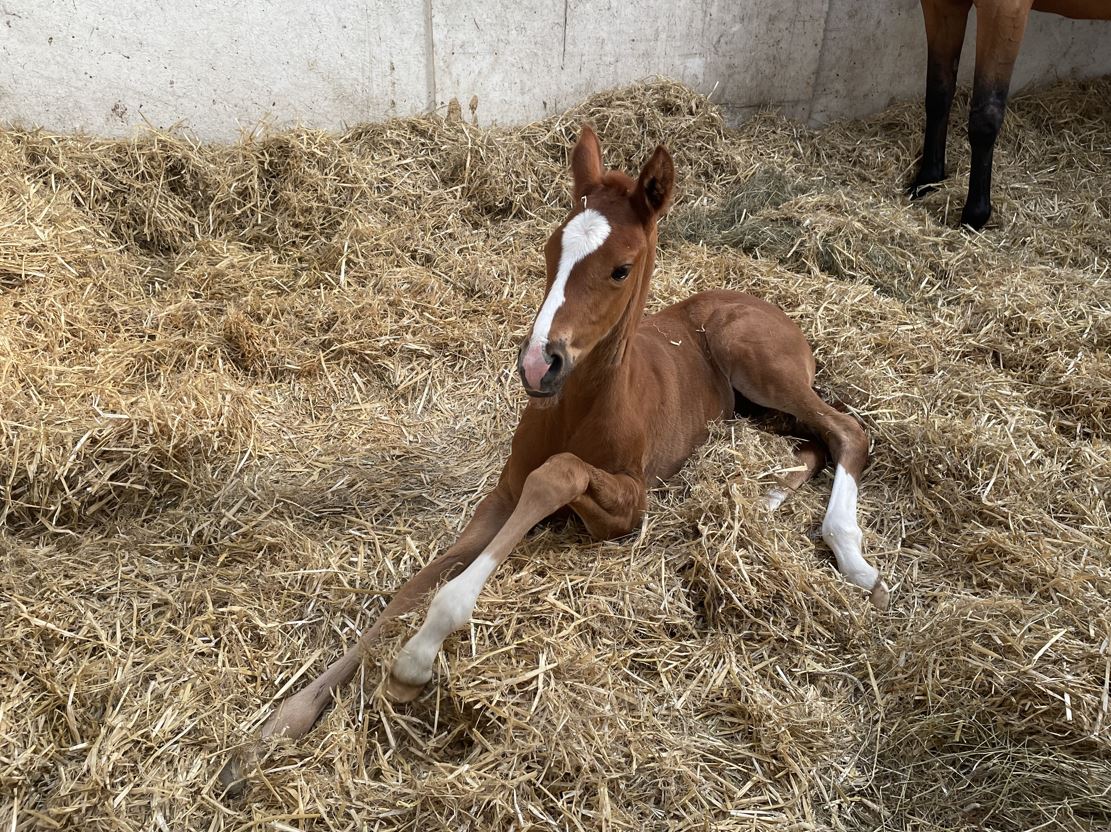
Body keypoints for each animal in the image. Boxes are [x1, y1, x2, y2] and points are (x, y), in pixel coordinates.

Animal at [221, 126, 888, 790]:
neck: (576, 407)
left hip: (759, 364)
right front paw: (277, 727)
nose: (538, 364)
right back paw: (767, 495)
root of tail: (768, 305)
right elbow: (409, 589)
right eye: (549, 250)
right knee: (815, 439)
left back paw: (855, 560)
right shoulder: (499, 499)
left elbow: (556, 477)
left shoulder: (629, 505)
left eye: (620, 269)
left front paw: (416, 659)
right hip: (755, 405)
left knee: (848, 431)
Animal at [911, 0, 1111, 228]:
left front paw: (975, 214)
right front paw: (927, 180)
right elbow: (938, 96)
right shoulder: (942, 6)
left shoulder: (1004, 11)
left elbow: (985, 119)